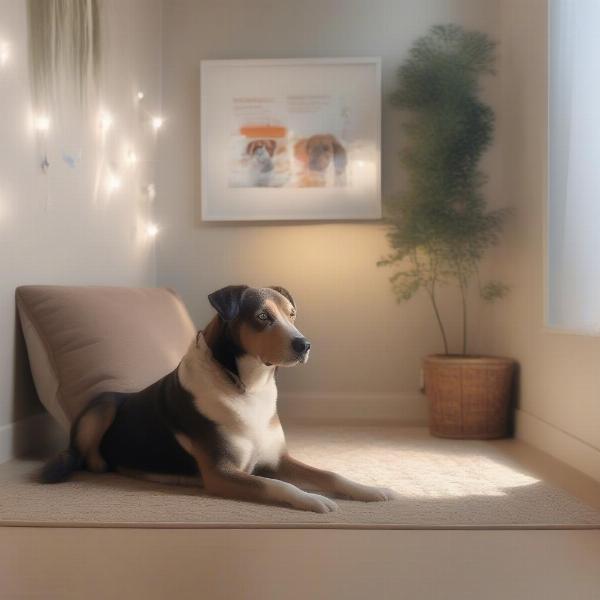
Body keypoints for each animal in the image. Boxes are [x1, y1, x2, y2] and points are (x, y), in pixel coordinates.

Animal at [42, 286, 398, 510]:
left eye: (292, 314)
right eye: (263, 317)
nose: (304, 344)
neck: (247, 387)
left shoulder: (278, 459)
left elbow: (330, 474)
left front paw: (371, 489)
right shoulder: (221, 472)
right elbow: (279, 486)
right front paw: (313, 499)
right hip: (102, 404)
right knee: (86, 457)